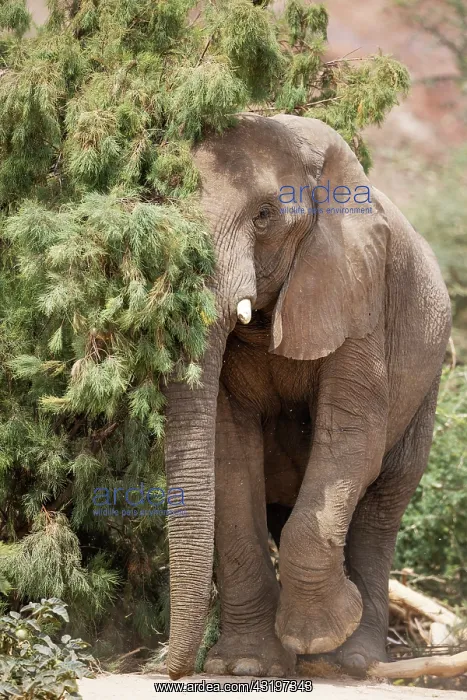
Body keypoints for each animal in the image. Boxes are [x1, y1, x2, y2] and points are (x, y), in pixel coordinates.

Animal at [162, 113, 451, 680]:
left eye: (264, 216)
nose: (167, 668)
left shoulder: (360, 293)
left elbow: (350, 439)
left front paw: (320, 633)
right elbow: (230, 455)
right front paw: (246, 666)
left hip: (424, 391)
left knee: (382, 505)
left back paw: (349, 660)